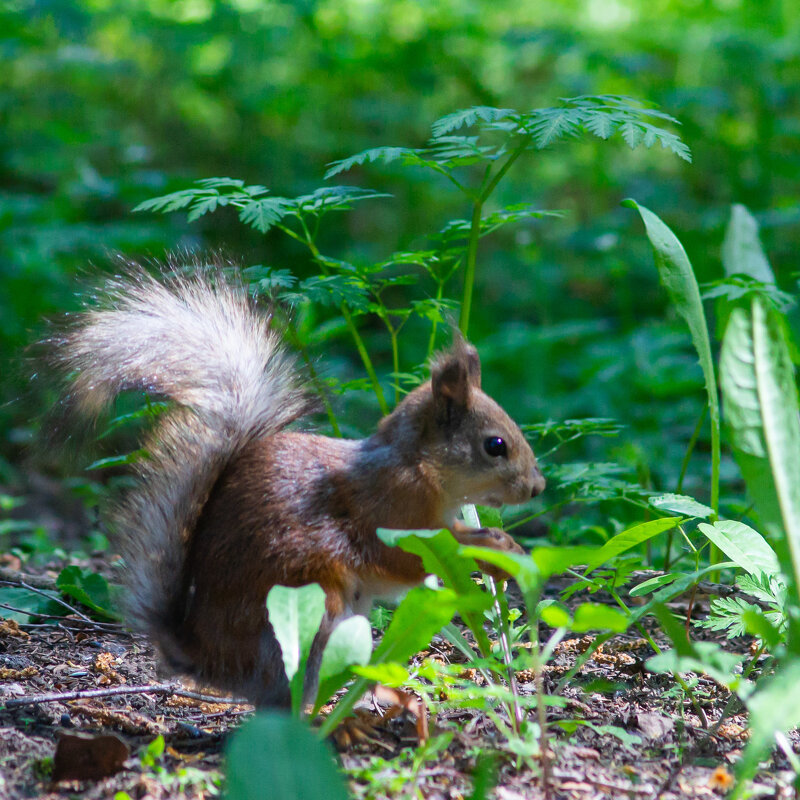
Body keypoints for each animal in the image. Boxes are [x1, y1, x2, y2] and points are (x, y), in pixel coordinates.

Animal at [53, 264, 548, 708]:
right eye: (495, 445)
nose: (537, 487)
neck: (419, 465)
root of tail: (206, 660)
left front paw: (509, 550)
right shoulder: (391, 508)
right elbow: (411, 557)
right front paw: (494, 547)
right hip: (306, 614)